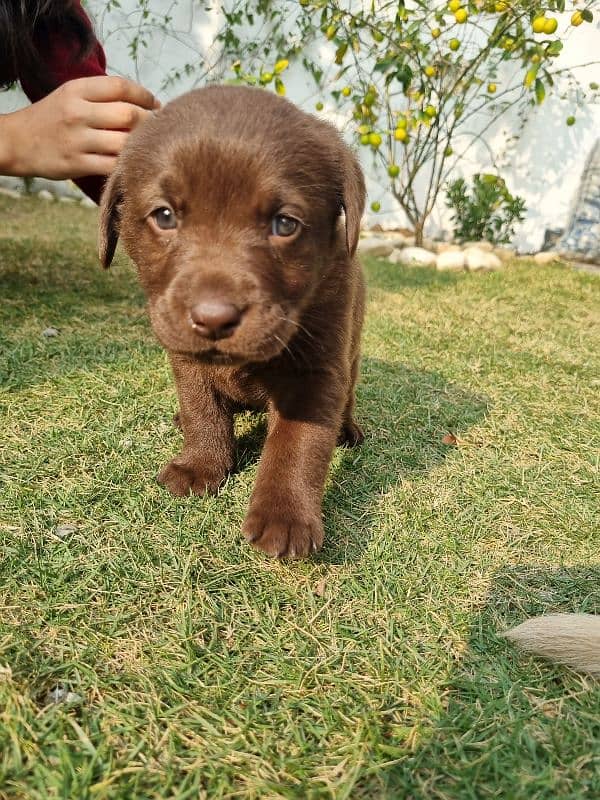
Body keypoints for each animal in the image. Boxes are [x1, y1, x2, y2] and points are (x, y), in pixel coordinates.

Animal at [98, 83, 366, 556]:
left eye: (285, 224)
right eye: (164, 216)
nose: (214, 318)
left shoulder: (317, 370)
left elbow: (298, 444)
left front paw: (284, 516)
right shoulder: (187, 359)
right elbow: (202, 410)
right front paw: (201, 464)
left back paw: (348, 429)